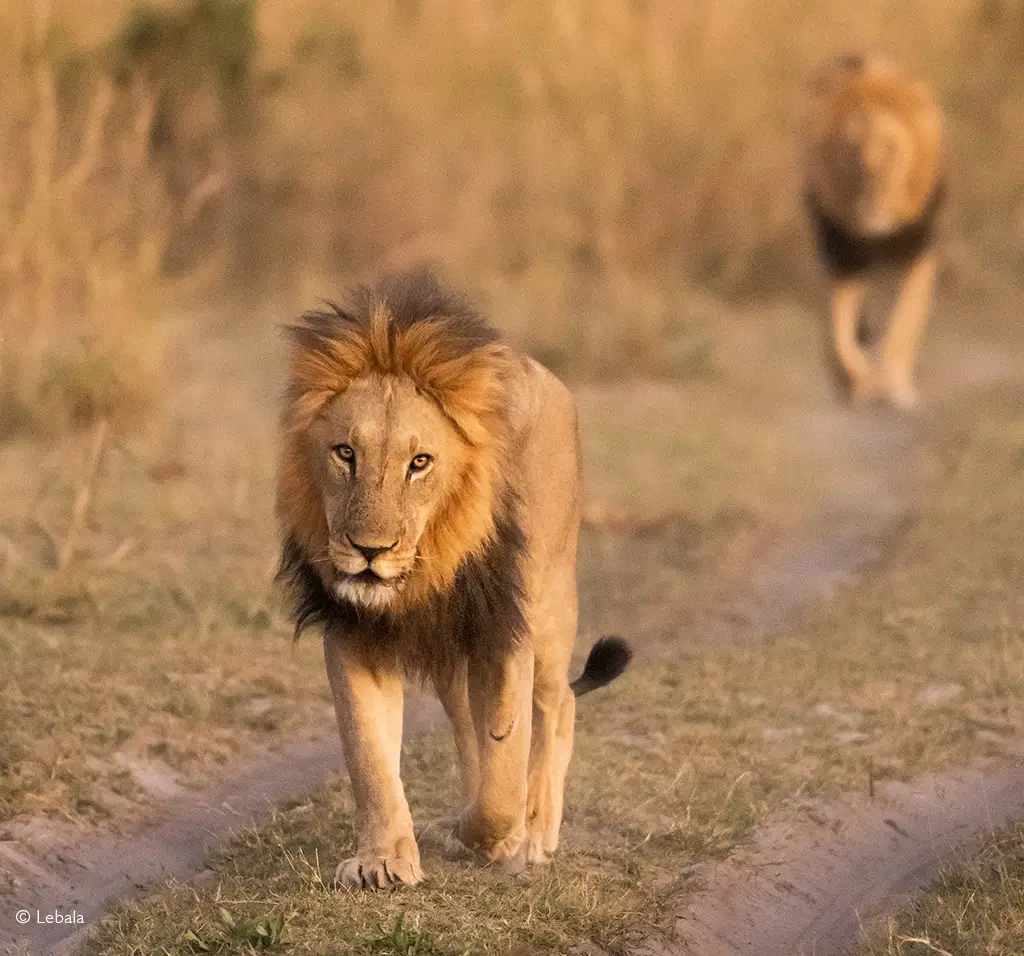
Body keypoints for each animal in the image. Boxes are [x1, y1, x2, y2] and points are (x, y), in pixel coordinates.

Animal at [276, 269, 633, 889]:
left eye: (420, 463)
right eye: (344, 453)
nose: (370, 551)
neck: (425, 570)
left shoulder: (503, 630)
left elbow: (503, 779)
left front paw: (498, 837)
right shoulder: (356, 635)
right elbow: (370, 756)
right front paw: (384, 858)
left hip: (548, 605)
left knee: (557, 703)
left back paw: (537, 830)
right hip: (453, 659)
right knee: (470, 732)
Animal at [803, 53, 945, 409]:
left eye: (890, 147)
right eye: (851, 148)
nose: (873, 179)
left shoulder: (916, 251)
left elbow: (904, 321)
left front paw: (893, 385)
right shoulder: (841, 256)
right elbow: (836, 330)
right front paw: (858, 382)